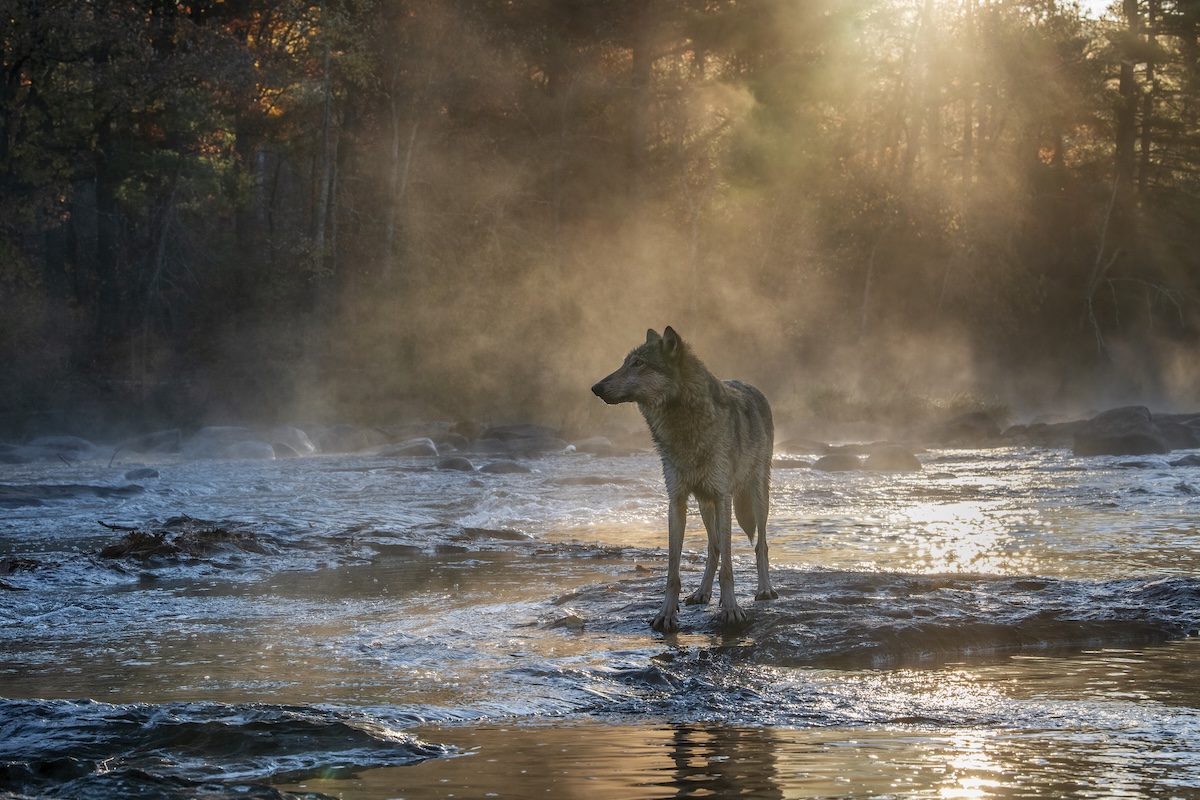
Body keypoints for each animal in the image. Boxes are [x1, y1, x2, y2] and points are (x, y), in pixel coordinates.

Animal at [591, 326, 776, 632]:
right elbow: (673, 571)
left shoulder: (723, 496)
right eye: (625, 363)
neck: (684, 427)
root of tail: (752, 387)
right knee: (713, 548)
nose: (596, 387)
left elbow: (729, 568)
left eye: (639, 364)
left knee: (760, 544)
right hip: (704, 504)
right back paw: (702, 593)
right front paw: (666, 614)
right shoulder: (676, 500)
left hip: (757, 497)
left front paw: (731, 610)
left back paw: (764, 590)